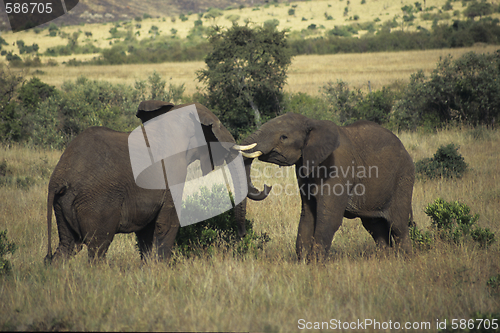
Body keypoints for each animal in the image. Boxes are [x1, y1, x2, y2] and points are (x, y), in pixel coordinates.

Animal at [44, 101, 268, 262]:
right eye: (218, 128)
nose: (241, 235)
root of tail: (58, 179)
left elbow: (146, 233)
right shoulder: (172, 173)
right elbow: (167, 224)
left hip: (63, 205)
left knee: (66, 247)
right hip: (96, 202)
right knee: (97, 247)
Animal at [238, 113, 414, 260]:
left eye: (283, 137)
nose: (267, 187)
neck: (312, 123)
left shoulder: (338, 167)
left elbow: (329, 217)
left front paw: (316, 265)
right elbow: (308, 214)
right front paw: (304, 263)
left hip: (403, 178)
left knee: (398, 225)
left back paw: (405, 260)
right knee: (375, 226)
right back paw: (386, 259)